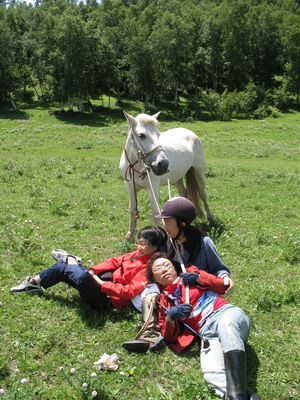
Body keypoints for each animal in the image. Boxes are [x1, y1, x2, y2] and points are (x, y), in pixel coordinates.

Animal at [118, 111, 214, 239]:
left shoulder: (152, 187)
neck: (136, 167)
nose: (163, 164)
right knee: (183, 193)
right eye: (141, 135)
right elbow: (132, 209)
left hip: (199, 172)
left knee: (203, 195)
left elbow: (155, 212)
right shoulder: (130, 187)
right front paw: (130, 233)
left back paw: (211, 220)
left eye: (158, 135)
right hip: (177, 178)